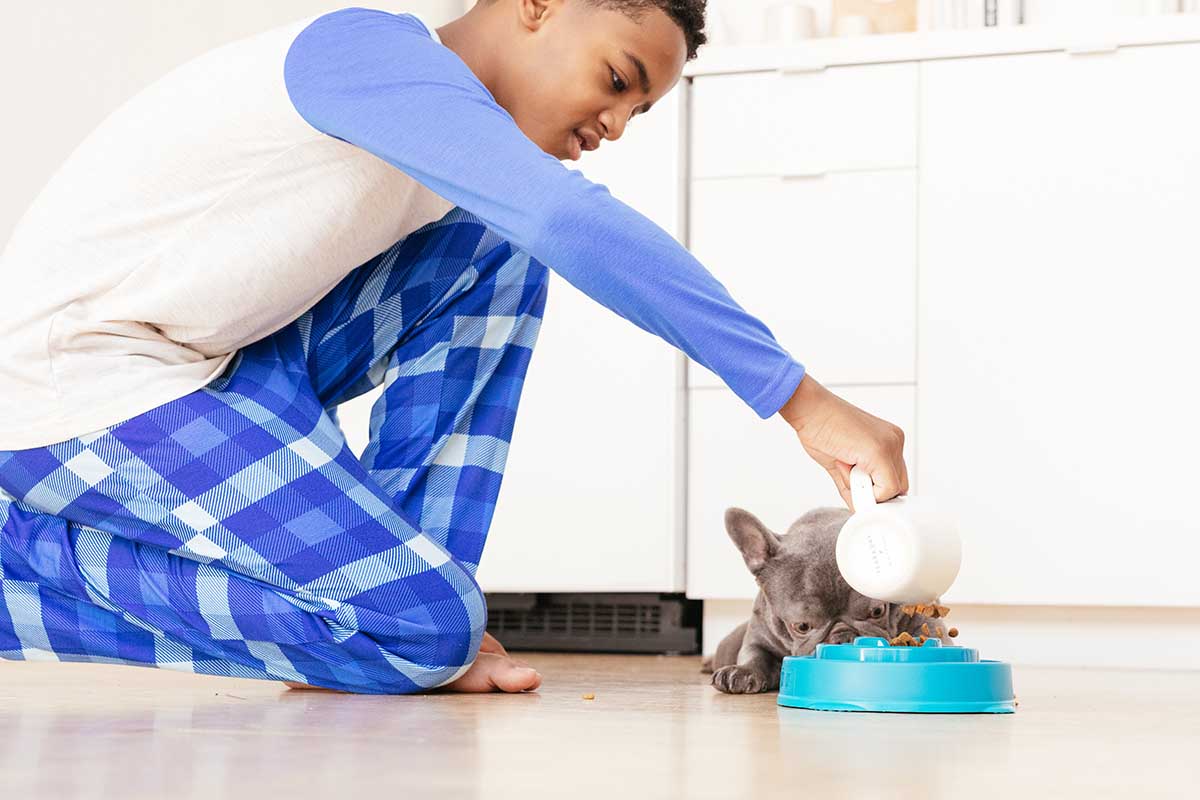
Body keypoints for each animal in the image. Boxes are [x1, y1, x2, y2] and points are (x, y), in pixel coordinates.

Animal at [700, 506, 945, 695]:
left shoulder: (928, 623)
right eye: (802, 626)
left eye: (877, 611)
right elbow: (754, 655)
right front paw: (742, 671)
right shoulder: (758, 637)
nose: (844, 638)